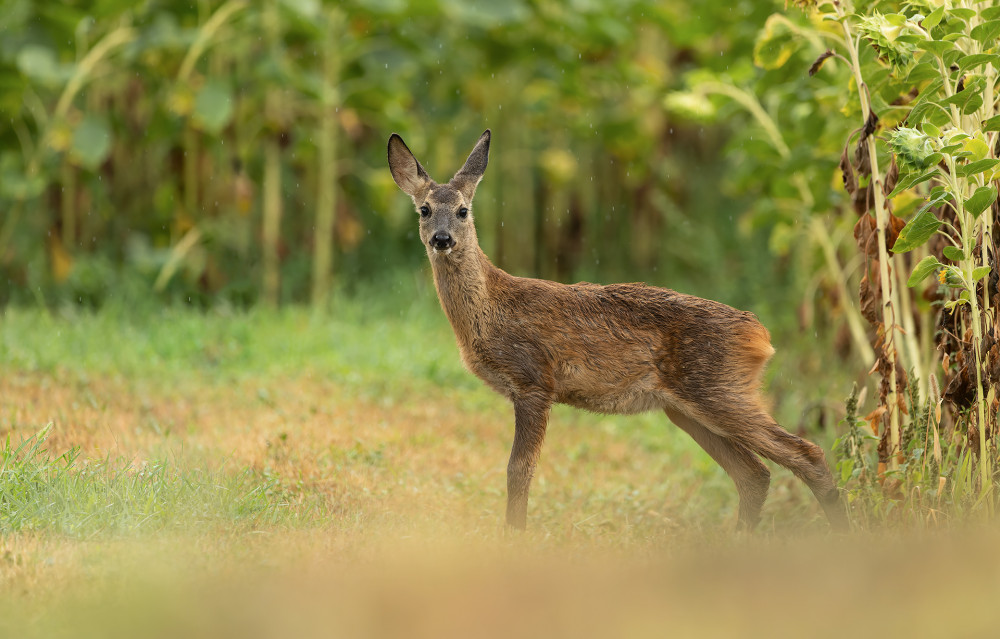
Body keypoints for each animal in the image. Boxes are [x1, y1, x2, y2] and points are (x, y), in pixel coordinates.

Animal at [386, 129, 848, 528]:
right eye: (424, 210)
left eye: (463, 210)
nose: (442, 239)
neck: (493, 308)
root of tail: (762, 337)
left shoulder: (535, 380)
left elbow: (519, 470)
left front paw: (513, 535)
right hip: (685, 408)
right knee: (754, 474)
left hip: (720, 390)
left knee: (807, 454)